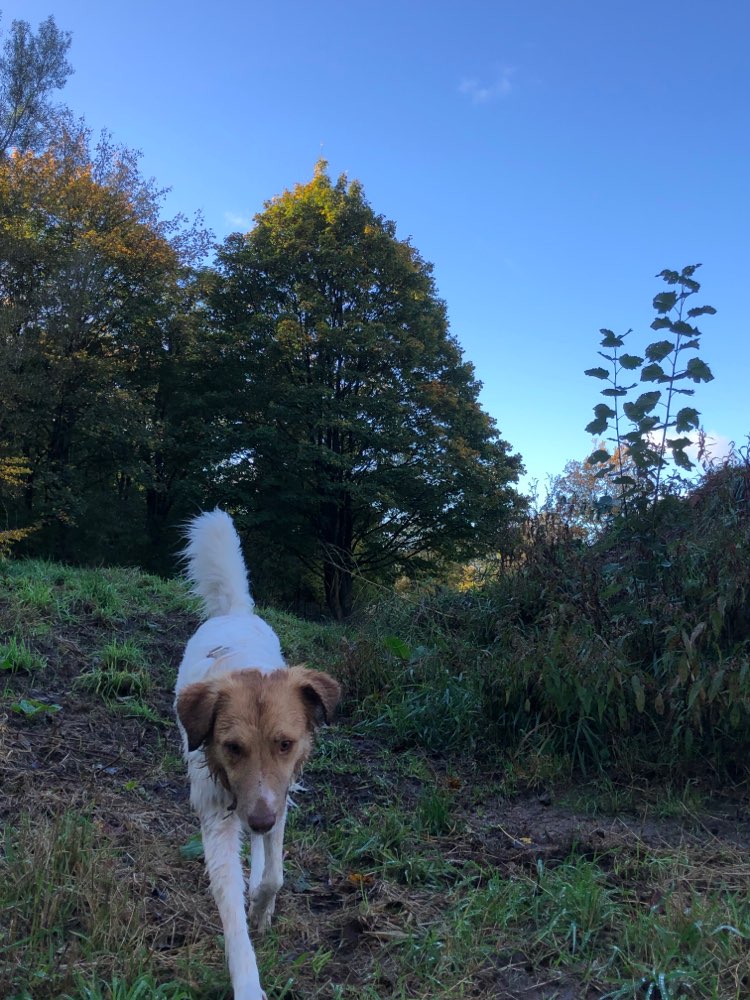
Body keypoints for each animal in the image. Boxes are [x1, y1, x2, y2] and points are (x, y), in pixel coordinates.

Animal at [175, 512, 342, 996]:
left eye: (285, 744)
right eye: (232, 747)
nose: (261, 820)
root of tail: (234, 613)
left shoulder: (279, 794)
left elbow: (274, 875)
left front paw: (262, 908)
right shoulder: (218, 814)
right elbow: (230, 909)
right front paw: (247, 982)